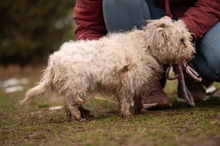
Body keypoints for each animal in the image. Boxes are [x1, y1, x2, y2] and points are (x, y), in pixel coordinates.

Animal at [20, 16, 194, 121]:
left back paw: (83, 113)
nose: (192, 53)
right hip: (77, 84)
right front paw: (127, 113)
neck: (146, 47)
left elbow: (138, 97)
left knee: (71, 102)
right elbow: (126, 99)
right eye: (182, 40)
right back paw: (78, 117)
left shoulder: (140, 83)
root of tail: (54, 60)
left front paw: (139, 110)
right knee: (71, 103)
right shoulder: (128, 82)